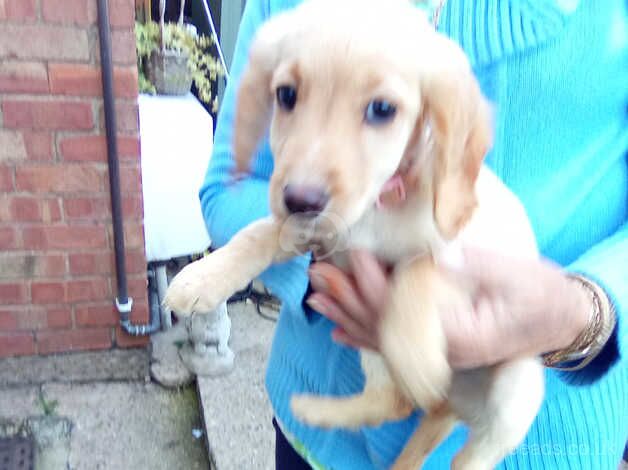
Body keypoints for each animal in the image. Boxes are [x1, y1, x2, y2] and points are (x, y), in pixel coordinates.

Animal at [164, 1, 544, 468]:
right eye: (286, 95)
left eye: (382, 109)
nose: (301, 198)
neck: (376, 209)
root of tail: (450, 403)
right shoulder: (320, 232)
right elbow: (261, 233)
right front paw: (203, 278)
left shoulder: (476, 266)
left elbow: (418, 271)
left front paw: (418, 357)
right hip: (371, 343)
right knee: (394, 400)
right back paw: (316, 409)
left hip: (516, 392)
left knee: (465, 447)